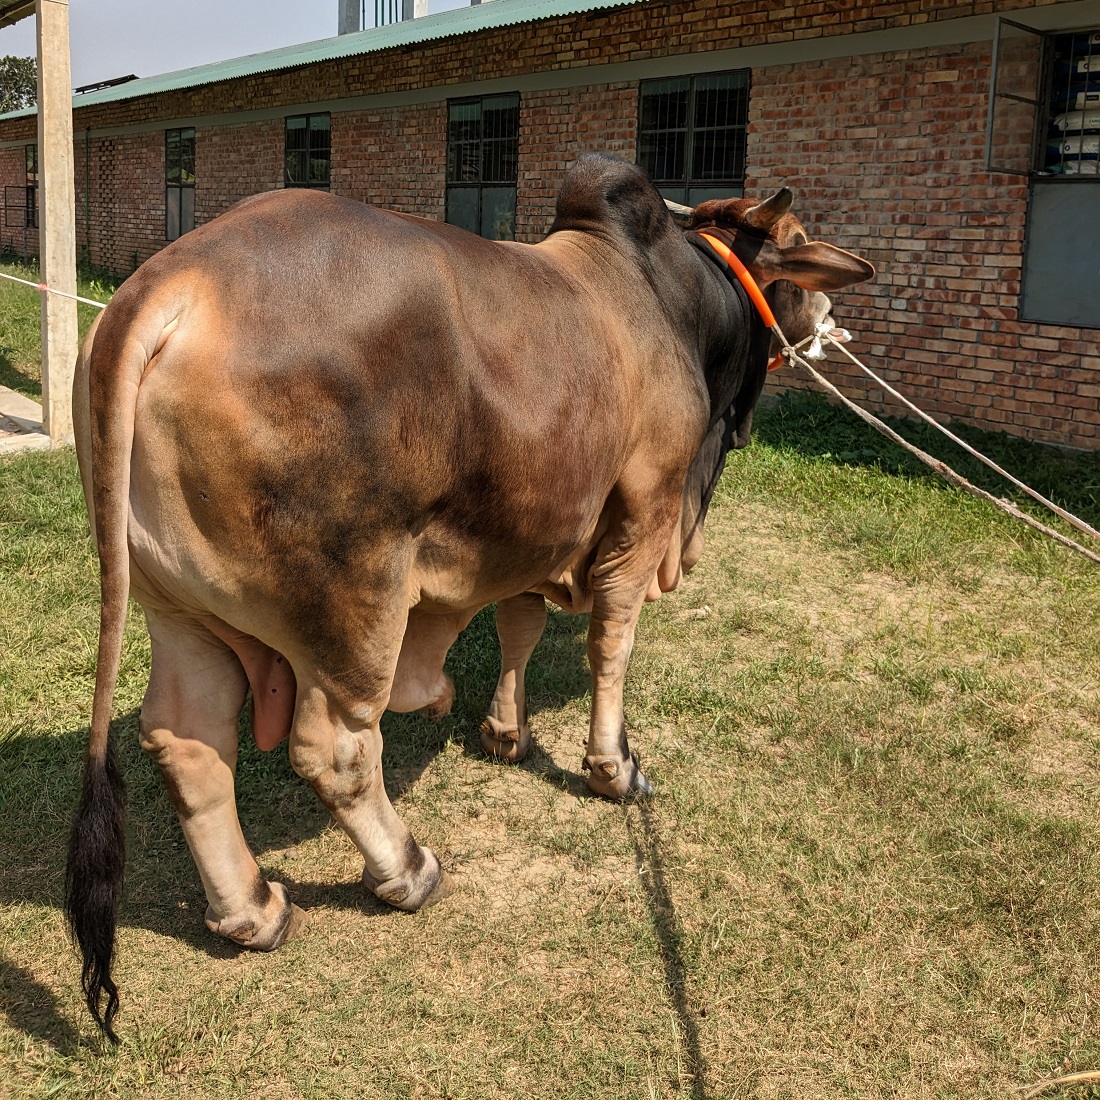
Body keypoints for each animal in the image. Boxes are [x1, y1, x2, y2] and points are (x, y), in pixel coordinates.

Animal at [64, 155, 871, 1038]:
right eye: (797, 242)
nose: (832, 315)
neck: (674, 302)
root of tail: (171, 284)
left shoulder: (532, 535)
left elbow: (520, 626)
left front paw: (506, 732)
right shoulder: (645, 508)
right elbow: (612, 643)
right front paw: (614, 766)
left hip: (177, 607)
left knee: (190, 743)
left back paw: (253, 910)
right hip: (354, 602)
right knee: (336, 749)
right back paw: (407, 869)